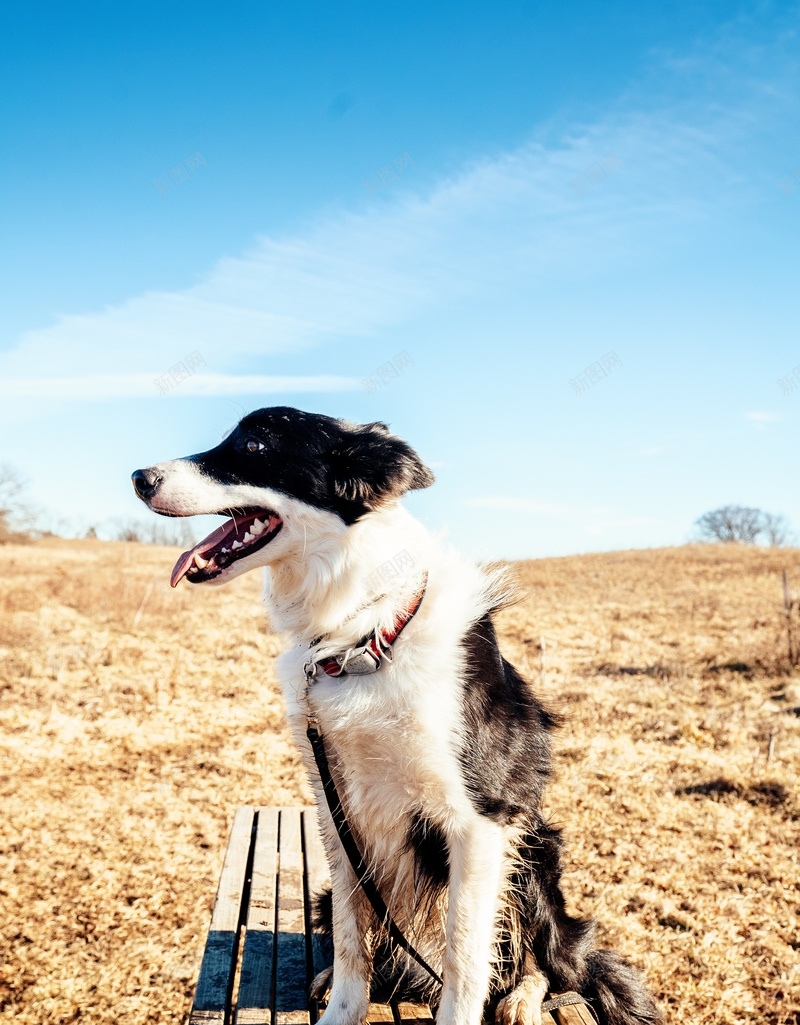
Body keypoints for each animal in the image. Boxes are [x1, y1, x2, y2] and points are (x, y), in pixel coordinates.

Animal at [132, 405, 660, 1025]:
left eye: (256, 445)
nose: (139, 477)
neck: (366, 640)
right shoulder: (337, 810)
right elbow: (350, 935)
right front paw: (341, 1008)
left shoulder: (479, 821)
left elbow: (464, 958)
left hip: (533, 851)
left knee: (546, 961)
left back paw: (522, 999)